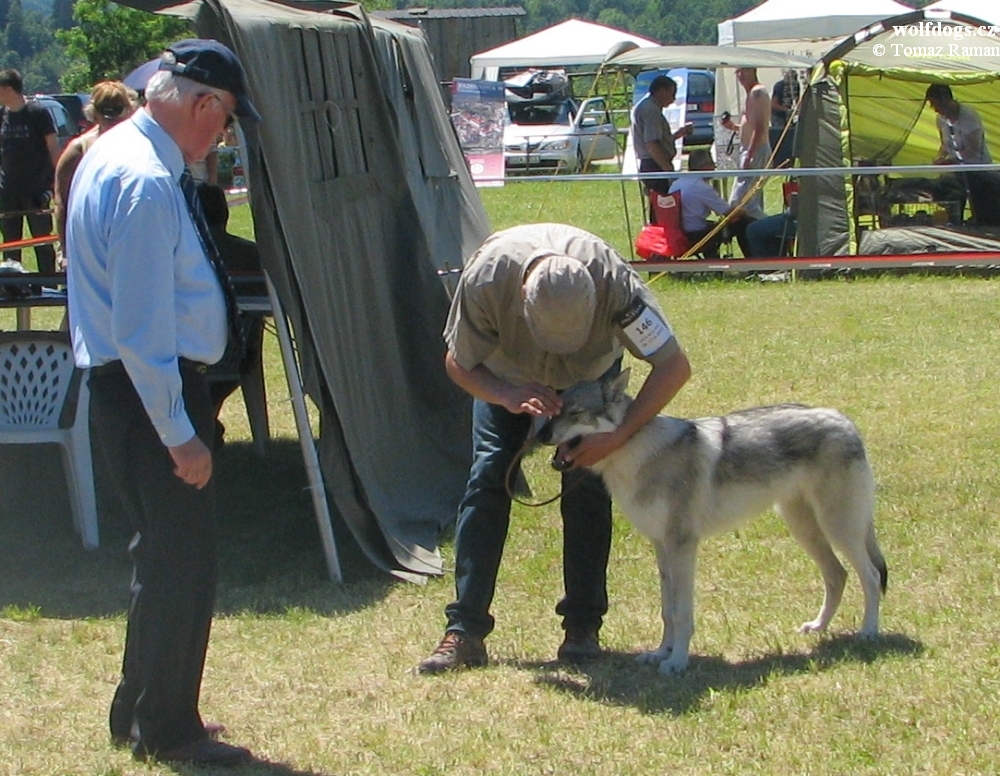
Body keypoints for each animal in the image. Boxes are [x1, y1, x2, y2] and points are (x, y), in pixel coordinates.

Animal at [536, 370, 888, 672]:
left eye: (575, 413)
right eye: (554, 411)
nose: (540, 435)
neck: (637, 454)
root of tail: (843, 419)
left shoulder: (682, 546)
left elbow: (682, 613)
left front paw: (677, 662)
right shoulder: (661, 546)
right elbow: (667, 611)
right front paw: (660, 653)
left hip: (839, 529)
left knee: (871, 577)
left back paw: (868, 632)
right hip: (805, 529)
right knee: (838, 575)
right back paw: (818, 627)